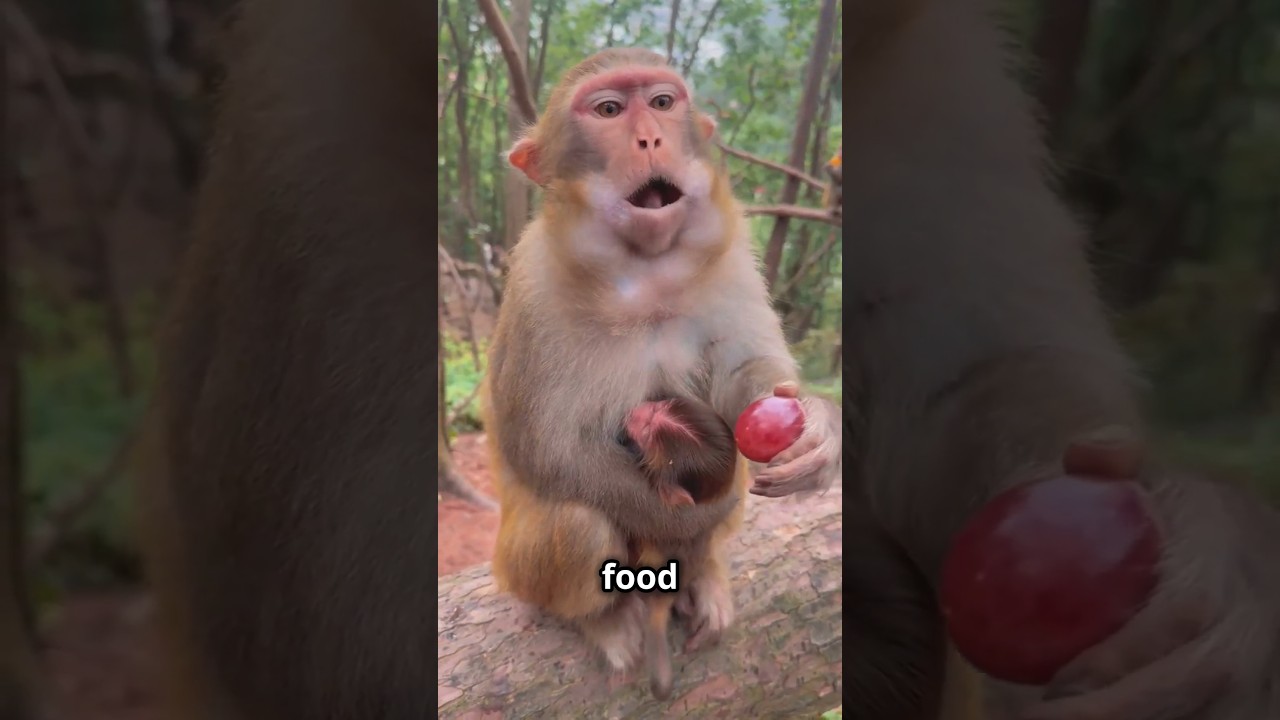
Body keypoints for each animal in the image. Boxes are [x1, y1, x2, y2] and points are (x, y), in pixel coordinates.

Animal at [483, 46, 843, 700]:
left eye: (662, 101)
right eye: (607, 110)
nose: (650, 137)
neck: (642, 269)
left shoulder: (730, 252)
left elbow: (746, 375)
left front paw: (818, 427)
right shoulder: (532, 283)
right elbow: (549, 449)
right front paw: (694, 521)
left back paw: (705, 576)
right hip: (517, 568)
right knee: (579, 524)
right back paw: (606, 619)